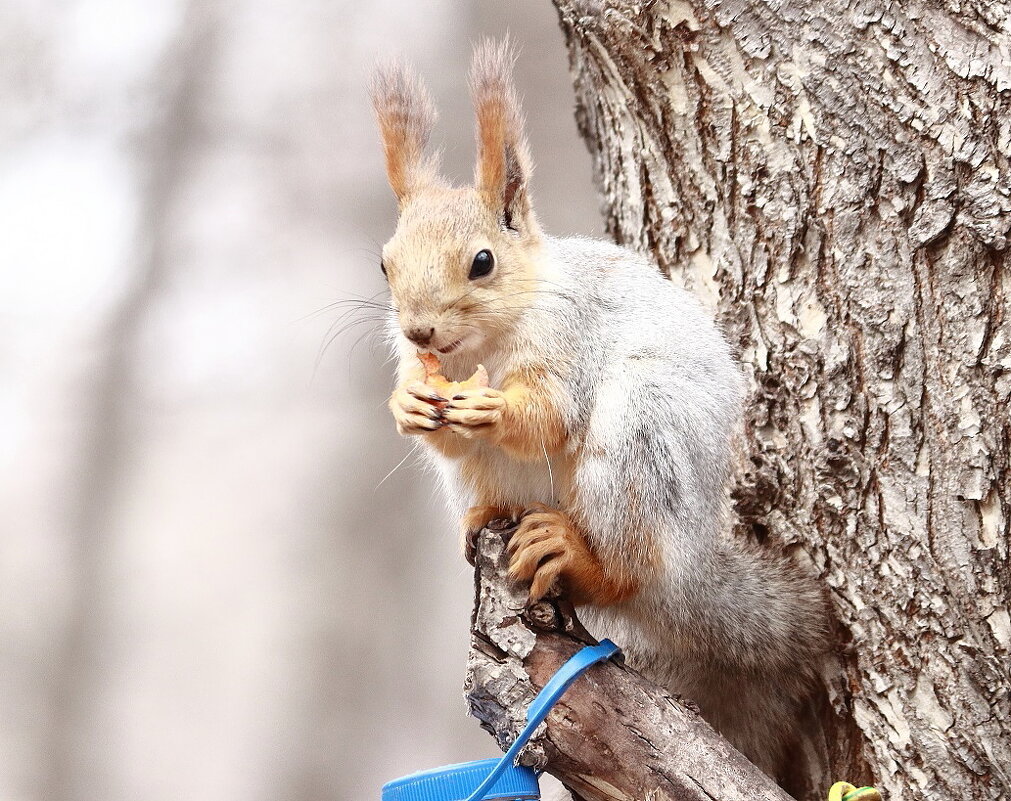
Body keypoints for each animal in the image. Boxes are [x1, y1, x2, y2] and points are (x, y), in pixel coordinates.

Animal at [370, 40, 829, 780]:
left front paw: (493, 407)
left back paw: (576, 554)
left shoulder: (570, 341)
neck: (484, 346)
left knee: (622, 573)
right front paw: (410, 402)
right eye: (384, 265)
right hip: (486, 480)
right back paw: (485, 520)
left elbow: (550, 414)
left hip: (640, 439)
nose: (418, 331)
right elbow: (435, 422)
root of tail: (686, 565)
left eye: (481, 262)